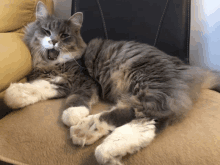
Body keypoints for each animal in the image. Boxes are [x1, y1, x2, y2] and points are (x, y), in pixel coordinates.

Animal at [3, 1, 220, 165]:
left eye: (64, 35)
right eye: (47, 31)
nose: (54, 41)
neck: (56, 65)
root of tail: (188, 69)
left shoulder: (87, 82)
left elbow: (77, 100)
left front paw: (72, 115)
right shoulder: (59, 82)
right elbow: (38, 88)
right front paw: (15, 95)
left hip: (147, 84)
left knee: (144, 115)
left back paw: (88, 134)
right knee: (142, 121)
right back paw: (102, 145)